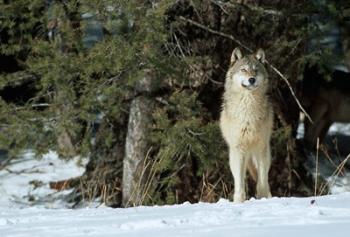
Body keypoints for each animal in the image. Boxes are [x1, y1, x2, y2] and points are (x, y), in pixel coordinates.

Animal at [219, 47, 274, 203]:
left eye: (255, 70)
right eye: (243, 70)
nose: (252, 79)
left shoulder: (262, 147)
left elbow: (262, 179)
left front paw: (263, 198)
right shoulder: (238, 149)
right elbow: (239, 181)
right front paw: (239, 201)